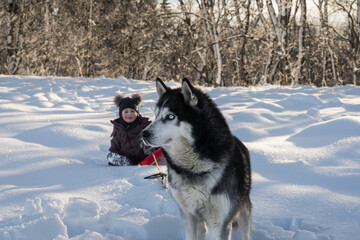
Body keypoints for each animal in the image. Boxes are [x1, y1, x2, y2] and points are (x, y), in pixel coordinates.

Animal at [141, 79, 253, 240]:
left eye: (170, 116)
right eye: (155, 116)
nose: (143, 134)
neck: (193, 170)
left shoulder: (220, 224)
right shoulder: (188, 215)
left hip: (243, 210)